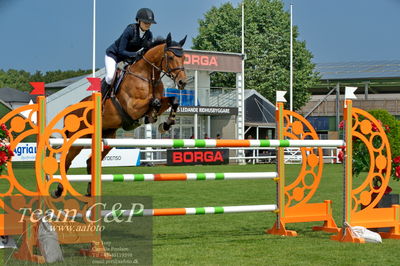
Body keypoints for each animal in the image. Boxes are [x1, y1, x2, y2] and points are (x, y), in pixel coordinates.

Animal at [52, 33, 188, 196]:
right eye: (171, 57)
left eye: (184, 57)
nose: (182, 82)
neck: (147, 76)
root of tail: (70, 111)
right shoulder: (132, 107)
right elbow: (153, 102)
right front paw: (151, 117)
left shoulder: (162, 101)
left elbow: (173, 100)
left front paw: (165, 124)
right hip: (78, 140)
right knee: (66, 161)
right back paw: (59, 190)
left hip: (107, 138)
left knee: (90, 162)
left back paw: (90, 192)